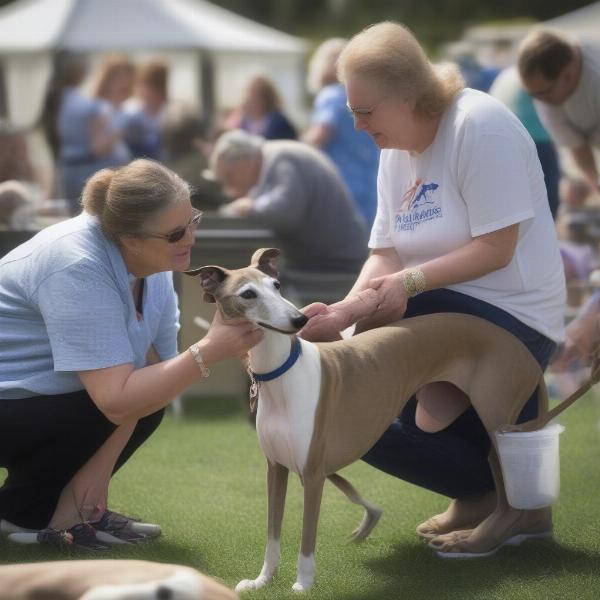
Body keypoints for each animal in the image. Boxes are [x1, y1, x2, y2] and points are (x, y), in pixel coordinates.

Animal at [186, 247, 556, 592]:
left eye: (276, 286)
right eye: (248, 294)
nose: (299, 319)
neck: (283, 373)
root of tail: (517, 346)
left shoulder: (313, 473)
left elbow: (307, 537)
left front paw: (303, 584)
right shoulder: (275, 468)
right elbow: (272, 534)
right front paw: (262, 580)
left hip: (500, 424)